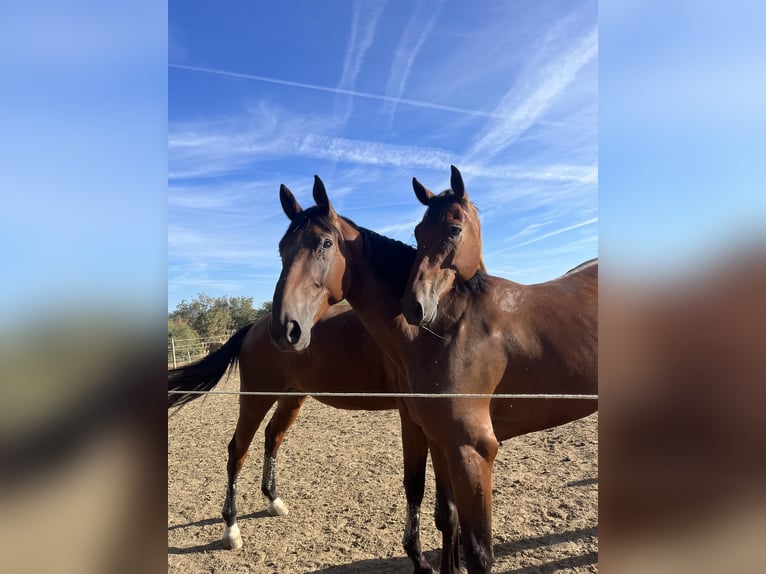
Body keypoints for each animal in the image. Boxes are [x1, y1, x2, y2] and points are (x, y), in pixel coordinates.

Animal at [167, 306, 436, 572]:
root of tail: (255, 327)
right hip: (256, 400)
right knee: (238, 451)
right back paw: (232, 530)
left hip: (291, 397)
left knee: (272, 437)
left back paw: (273, 499)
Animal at [270, 173, 600, 572]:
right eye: (282, 248)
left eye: (325, 243)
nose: (284, 328)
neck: (446, 330)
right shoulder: (438, 440)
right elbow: (446, 516)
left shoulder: (472, 450)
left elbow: (478, 553)